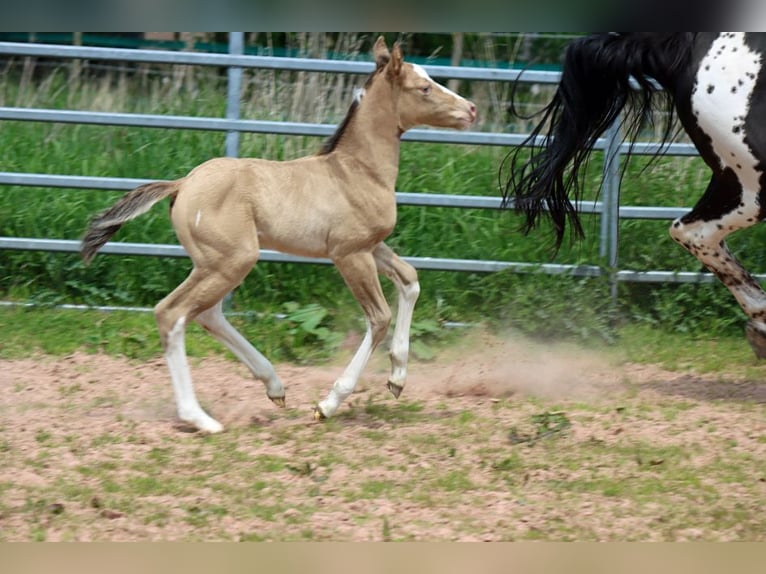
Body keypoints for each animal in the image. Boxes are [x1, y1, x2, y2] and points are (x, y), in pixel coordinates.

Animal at [85, 38, 480, 432]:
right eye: (424, 87)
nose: (472, 110)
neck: (356, 171)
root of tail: (182, 184)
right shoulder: (349, 253)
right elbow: (379, 317)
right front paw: (328, 404)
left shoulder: (372, 246)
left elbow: (410, 280)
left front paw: (397, 378)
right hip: (232, 261)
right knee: (173, 313)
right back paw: (201, 418)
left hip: (212, 264)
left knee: (207, 314)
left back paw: (274, 386)